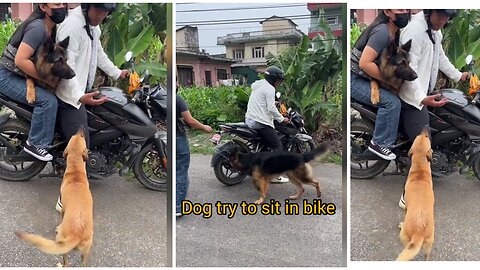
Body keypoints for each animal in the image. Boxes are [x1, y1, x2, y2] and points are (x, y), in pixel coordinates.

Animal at [15, 127, 93, 266]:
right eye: (76, 135)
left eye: (81, 136)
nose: (81, 127)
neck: (76, 172)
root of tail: (76, 234)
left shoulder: (63, 209)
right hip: (85, 252)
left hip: (62, 243)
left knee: (66, 263)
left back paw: (60, 264)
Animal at [396, 129, 434, 262]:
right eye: (420, 135)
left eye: (426, 136)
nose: (426, 128)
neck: (420, 171)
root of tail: (419, 233)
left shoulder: (406, 206)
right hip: (429, 244)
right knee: (427, 257)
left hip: (404, 238)